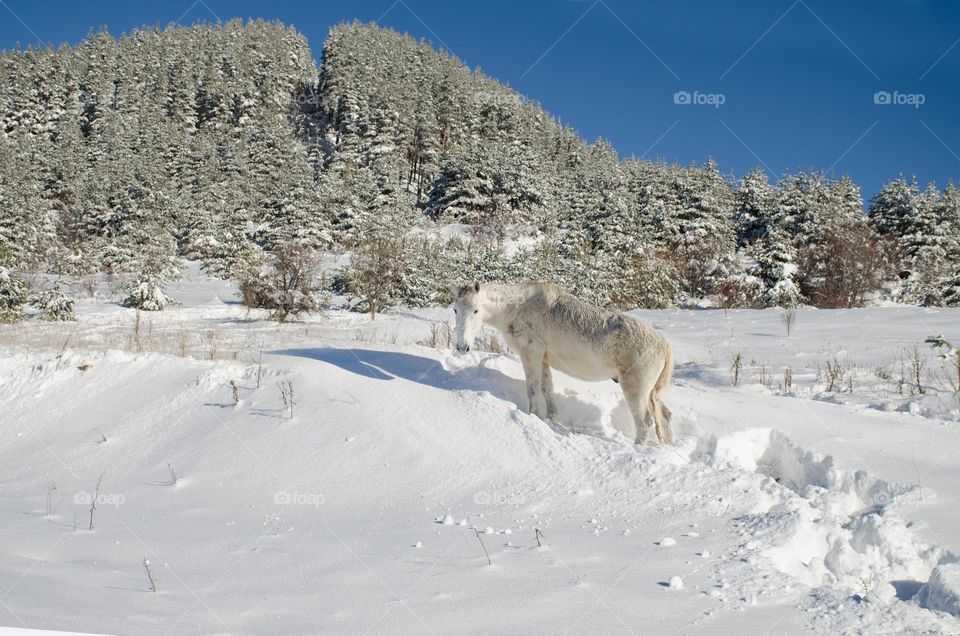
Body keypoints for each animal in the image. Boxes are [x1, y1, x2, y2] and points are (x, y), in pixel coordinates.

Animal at [452, 280, 672, 444]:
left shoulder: (531, 353)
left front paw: (533, 415)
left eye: (476, 310)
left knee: (644, 421)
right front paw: (552, 419)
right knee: (664, 415)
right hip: (651, 392)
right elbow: (547, 388)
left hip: (635, 387)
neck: (514, 309)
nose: (462, 347)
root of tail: (665, 346)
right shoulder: (543, 358)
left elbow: (533, 389)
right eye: (455, 310)